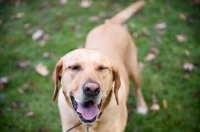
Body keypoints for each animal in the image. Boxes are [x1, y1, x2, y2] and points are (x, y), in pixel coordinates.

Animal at [51, 0, 148, 131]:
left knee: (137, 88)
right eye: (74, 67)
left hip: (133, 70)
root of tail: (110, 23)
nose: (92, 89)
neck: (90, 124)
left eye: (102, 68)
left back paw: (142, 106)